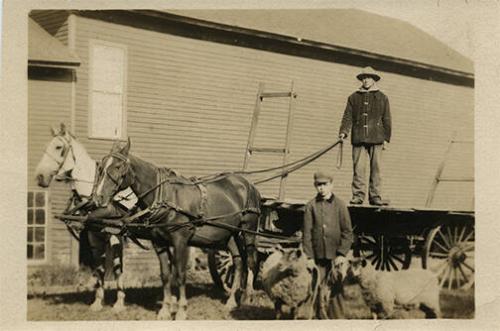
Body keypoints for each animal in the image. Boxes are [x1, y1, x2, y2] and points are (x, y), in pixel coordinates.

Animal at [35, 123, 137, 312]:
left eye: (58, 147)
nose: (39, 177)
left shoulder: (115, 236)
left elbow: (117, 268)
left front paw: (119, 302)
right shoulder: (93, 237)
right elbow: (99, 268)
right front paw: (98, 301)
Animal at [92, 139, 262, 320]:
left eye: (117, 167)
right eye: (101, 167)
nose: (98, 198)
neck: (166, 197)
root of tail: (248, 184)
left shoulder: (181, 241)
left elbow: (180, 274)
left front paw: (181, 311)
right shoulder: (159, 243)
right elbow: (166, 275)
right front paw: (165, 310)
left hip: (248, 230)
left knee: (251, 261)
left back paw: (247, 297)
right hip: (230, 234)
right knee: (238, 262)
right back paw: (231, 300)